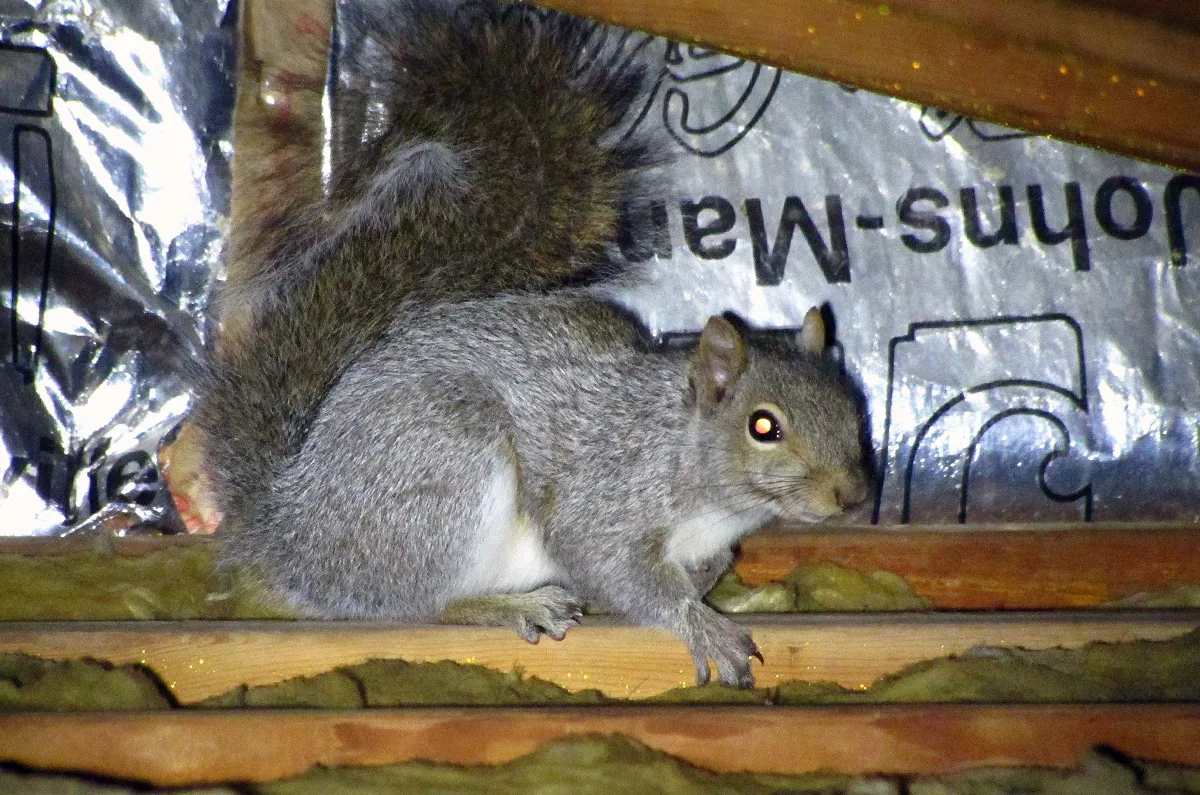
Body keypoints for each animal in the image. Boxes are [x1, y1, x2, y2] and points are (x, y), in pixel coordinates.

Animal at [193, 0, 870, 688]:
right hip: (445, 470)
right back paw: (513, 604)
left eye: (853, 405)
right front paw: (700, 624)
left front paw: (706, 583)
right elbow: (613, 565)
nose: (854, 496)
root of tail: (287, 523)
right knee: (417, 603)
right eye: (763, 426)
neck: (690, 458)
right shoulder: (607, 491)